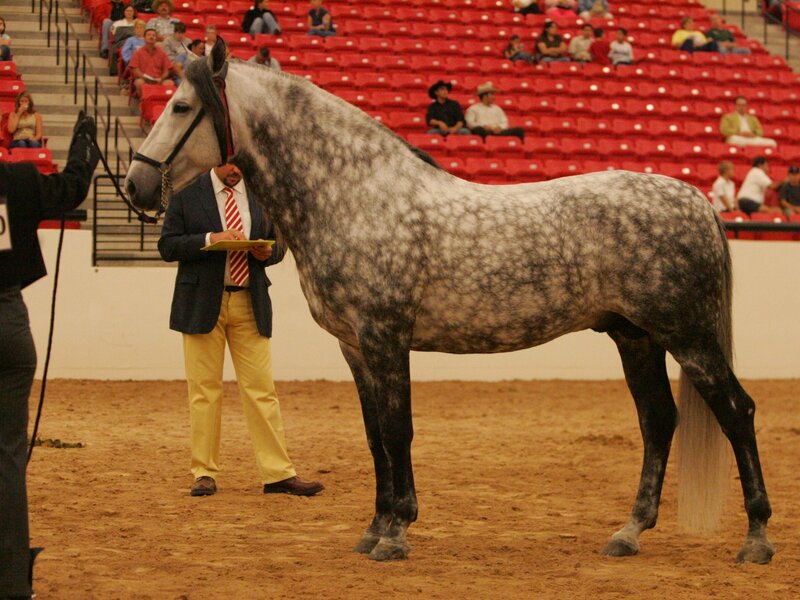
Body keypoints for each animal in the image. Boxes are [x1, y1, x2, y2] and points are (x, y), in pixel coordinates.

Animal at [124, 41, 774, 564]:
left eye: (181, 107)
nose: (135, 185)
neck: (357, 196)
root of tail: (693, 199)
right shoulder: (355, 349)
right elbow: (375, 438)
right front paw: (374, 528)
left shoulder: (385, 339)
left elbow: (398, 432)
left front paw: (395, 535)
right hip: (635, 338)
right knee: (658, 421)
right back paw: (628, 533)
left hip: (689, 339)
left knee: (736, 412)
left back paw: (756, 540)